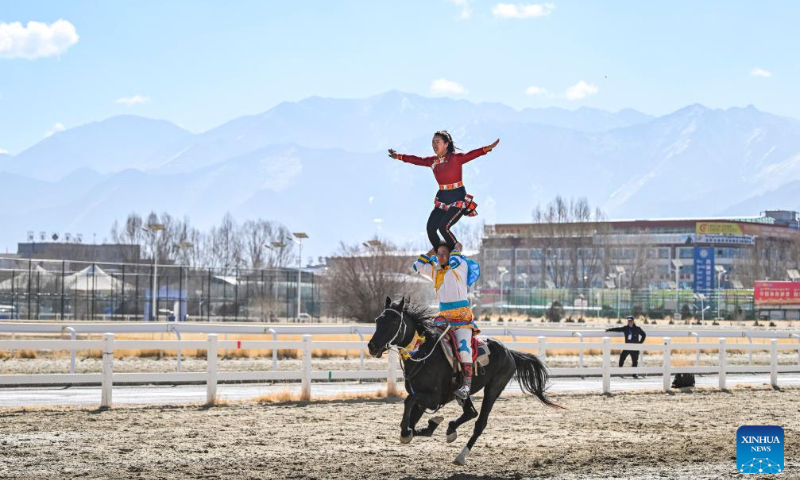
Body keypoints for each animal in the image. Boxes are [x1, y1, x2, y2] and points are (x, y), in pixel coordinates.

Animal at [367, 297, 561, 466]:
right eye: (377, 320)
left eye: (393, 321)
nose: (372, 346)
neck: (422, 352)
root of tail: (509, 352)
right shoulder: (422, 399)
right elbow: (412, 422)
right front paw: (424, 426)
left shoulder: (433, 398)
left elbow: (408, 402)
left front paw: (413, 428)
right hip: (463, 393)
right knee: (471, 412)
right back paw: (451, 429)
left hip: (493, 389)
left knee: (480, 423)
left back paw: (461, 456)